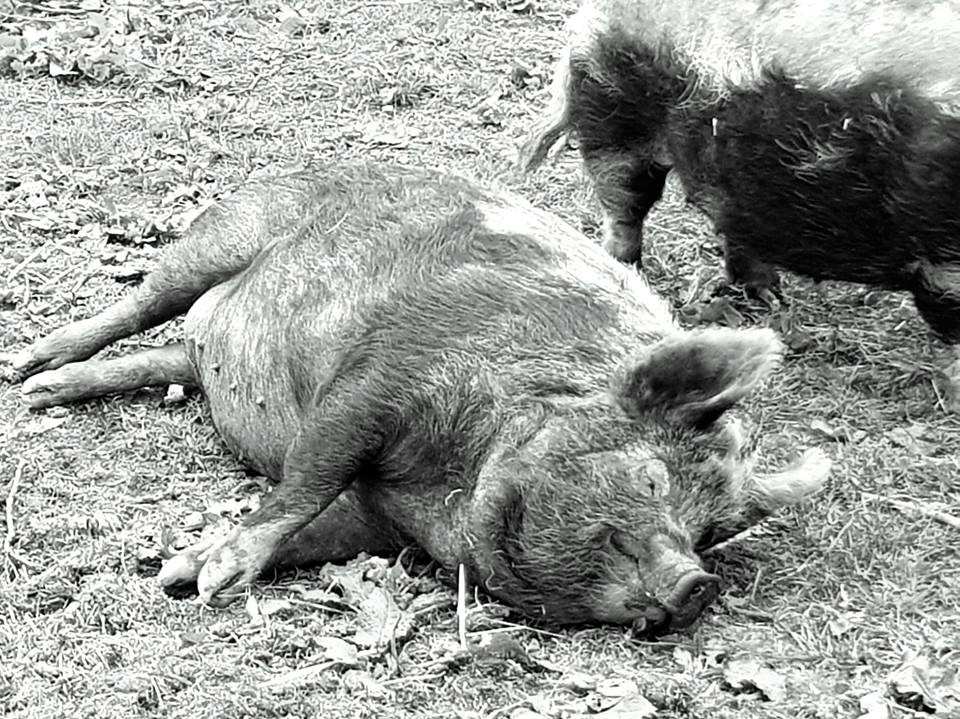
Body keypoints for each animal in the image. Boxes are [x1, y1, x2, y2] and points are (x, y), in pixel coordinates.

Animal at [13, 161, 829, 635]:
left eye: (713, 530)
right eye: (653, 478)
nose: (697, 584)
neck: (453, 489)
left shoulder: (379, 520)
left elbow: (316, 528)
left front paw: (181, 574)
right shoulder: (378, 380)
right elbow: (307, 477)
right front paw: (215, 579)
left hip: (203, 349)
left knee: (162, 354)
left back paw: (45, 391)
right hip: (225, 235)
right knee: (142, 303)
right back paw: (29, 368)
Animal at [524, 0, 960, 403]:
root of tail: (590, 17)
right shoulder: (943, 261)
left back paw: (770, 298)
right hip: (614, 124)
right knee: (623, 210)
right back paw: (628, 270)